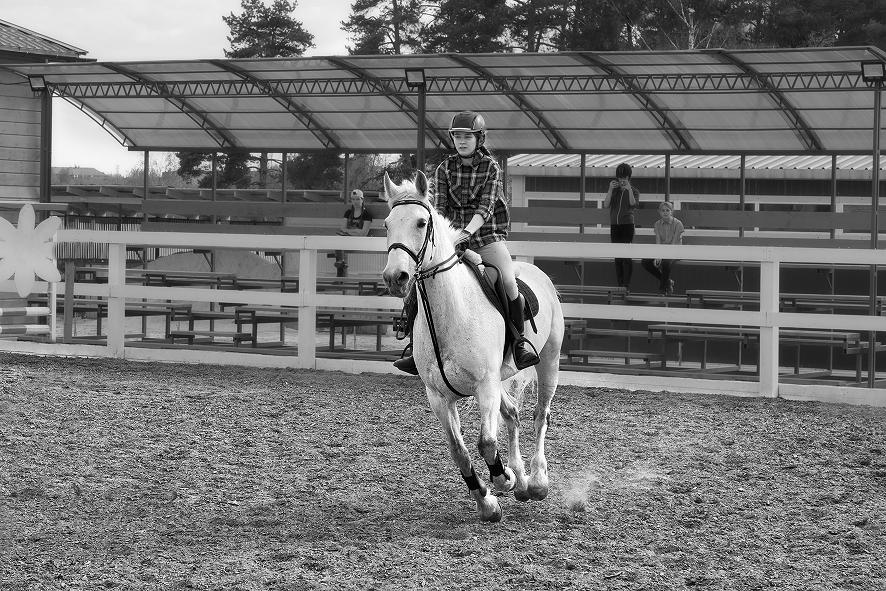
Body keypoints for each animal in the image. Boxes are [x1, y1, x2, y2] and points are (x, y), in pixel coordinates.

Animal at [380, 171, 560, 524]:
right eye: (387, 224)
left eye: (422, 222)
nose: (396, 277)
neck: (451, 314)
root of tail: (536, 272)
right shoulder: (438, 396)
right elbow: (459, 451)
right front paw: (487, 501)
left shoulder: (485, 385)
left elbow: (486, 443)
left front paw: (502, 480)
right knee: (513, 414)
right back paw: (521, 480)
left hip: (549, 361)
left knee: (539, 416)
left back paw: (536, 481)